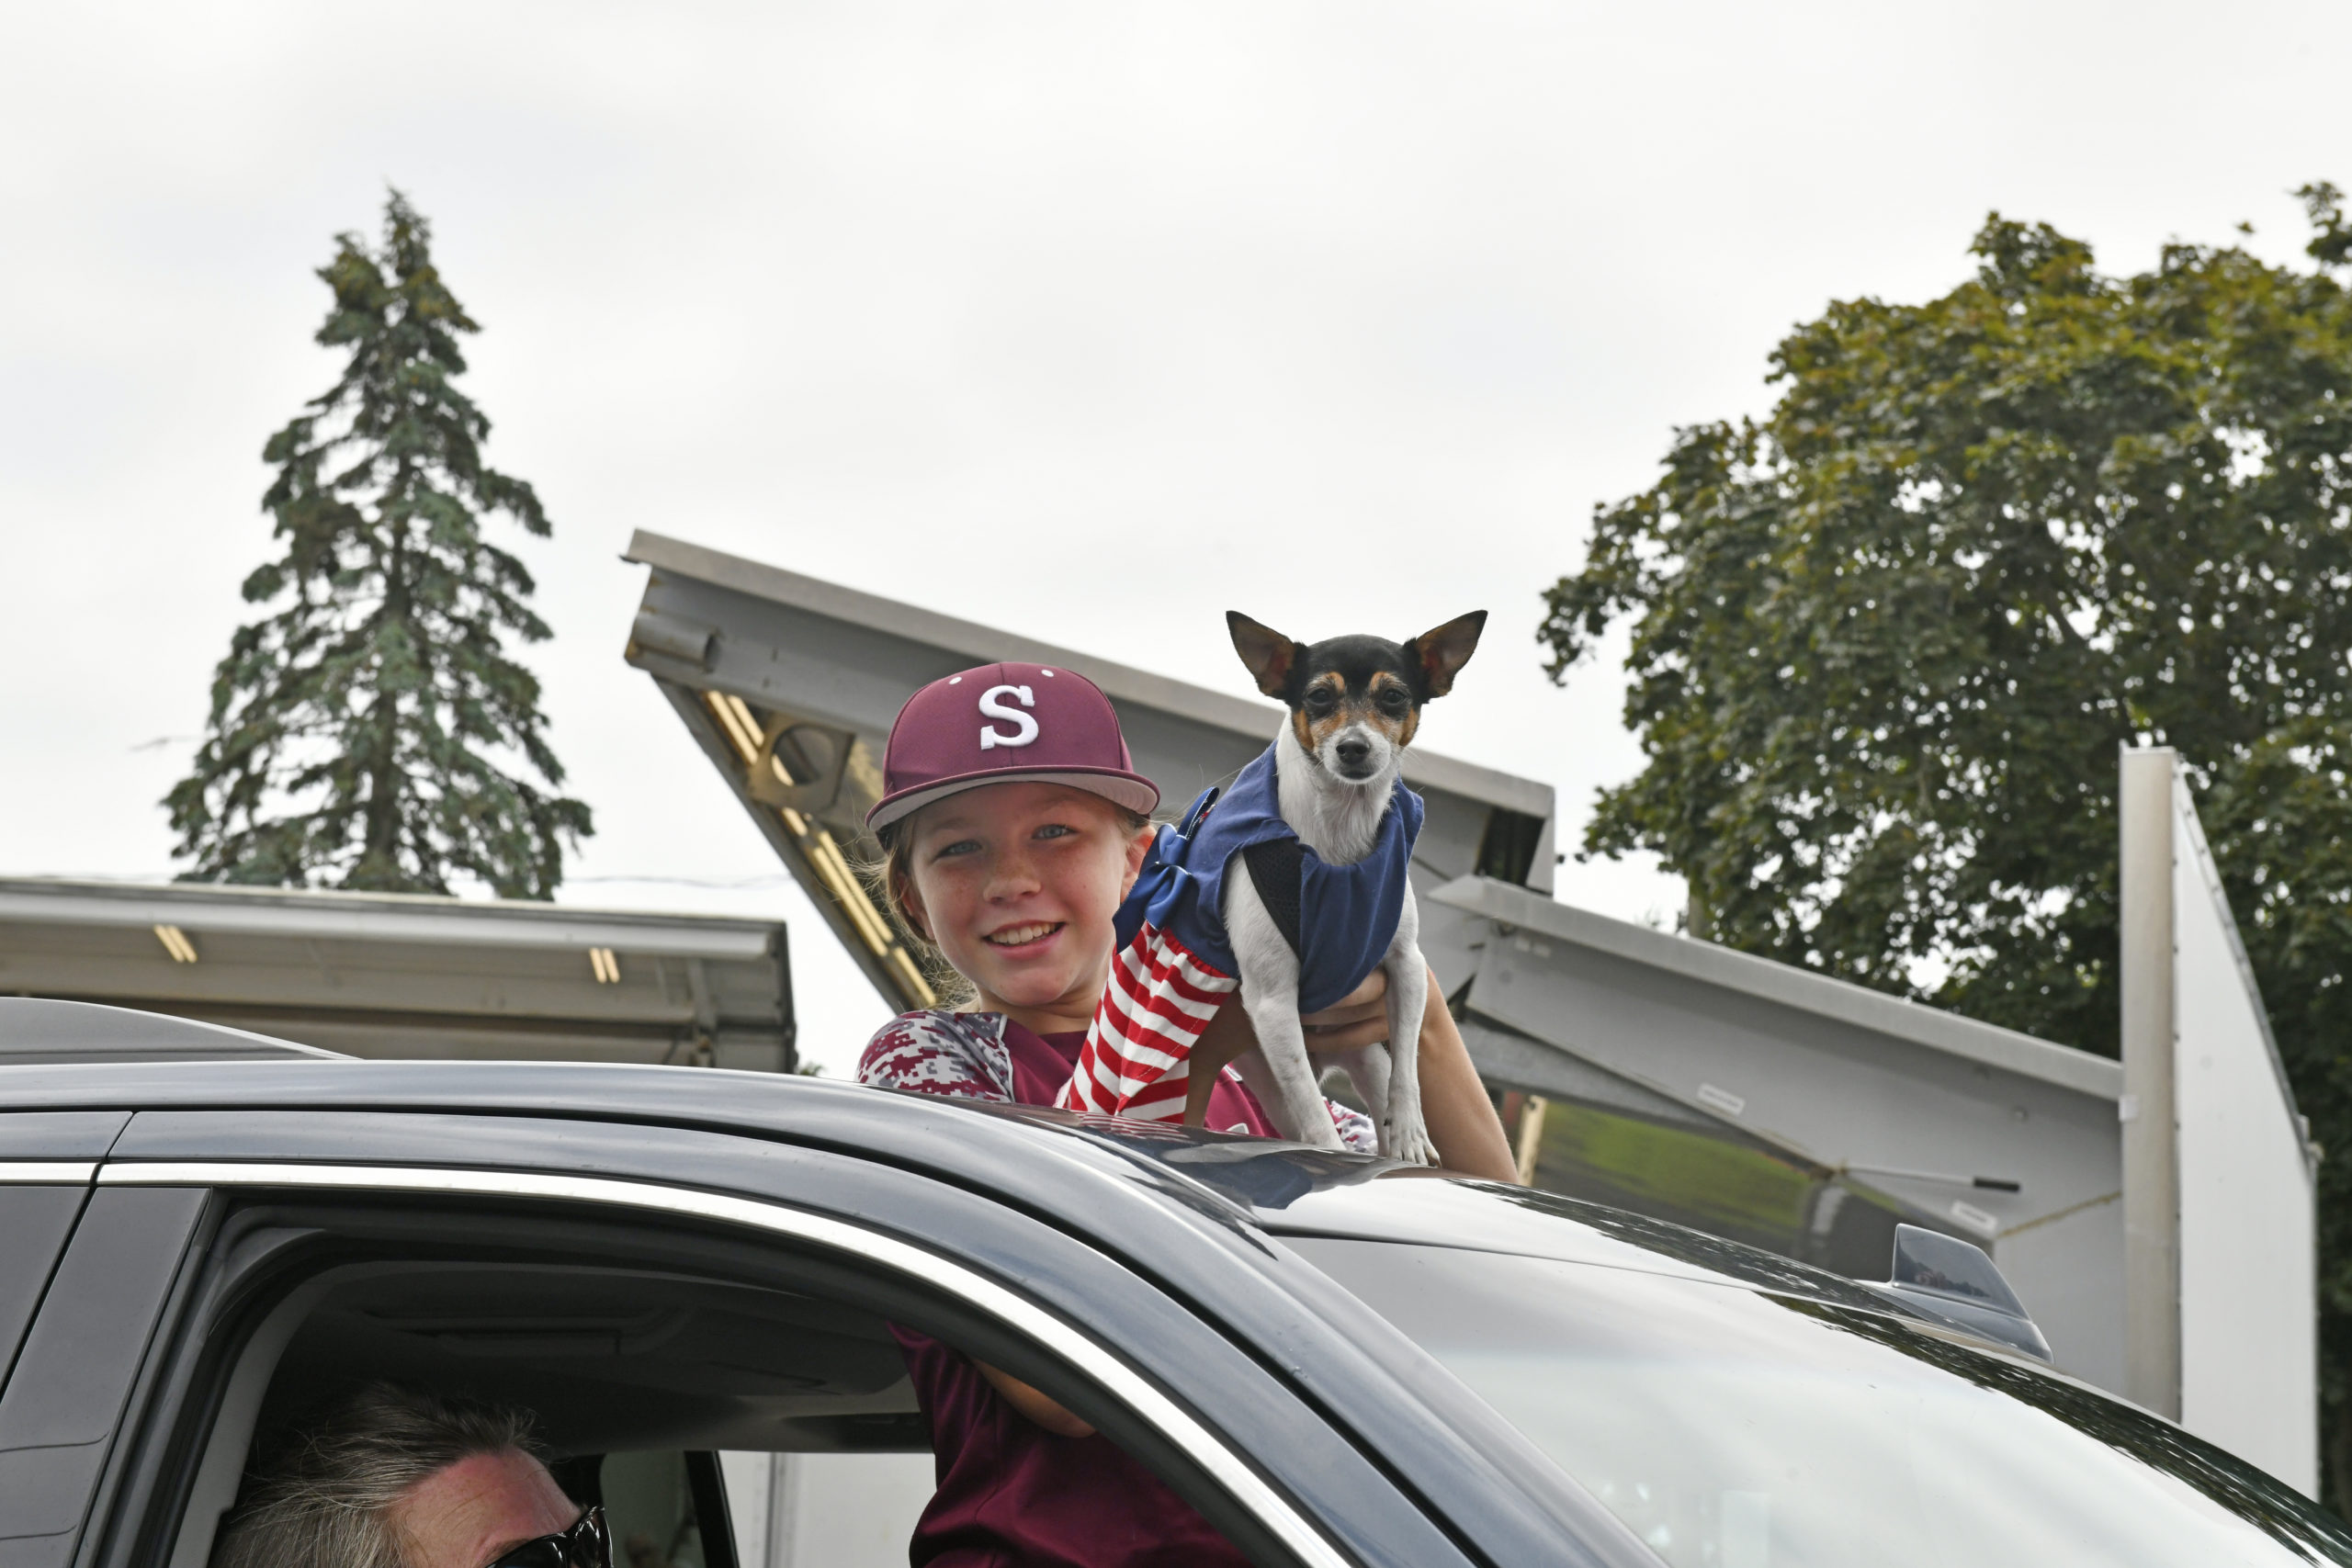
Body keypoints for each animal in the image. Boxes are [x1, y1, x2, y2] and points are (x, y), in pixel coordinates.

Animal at [1223, 611, 1476, 1166]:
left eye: (1394, 697)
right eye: (1319, 696)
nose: (1353, 746)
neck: (1340, 828)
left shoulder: (1407, 968)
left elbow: (1407, 1070)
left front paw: (1411, 1133)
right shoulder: (1272, 1002)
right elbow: (1312, 1116)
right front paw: (1325, 1151)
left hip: (1363, 1057)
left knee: (1380, 1089)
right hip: (1263, 1064)